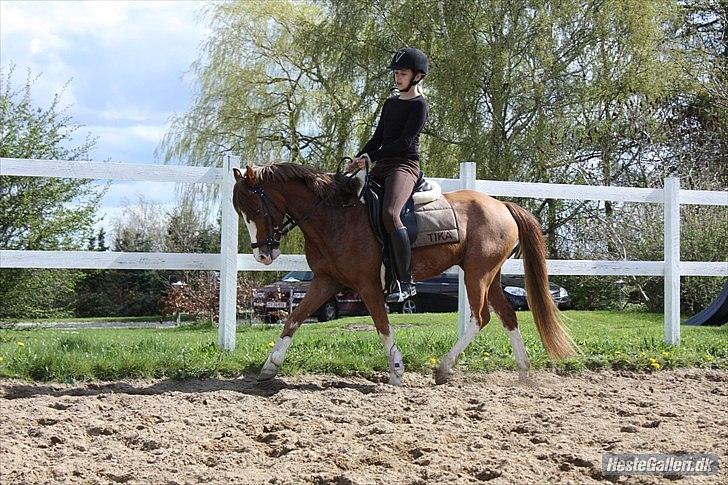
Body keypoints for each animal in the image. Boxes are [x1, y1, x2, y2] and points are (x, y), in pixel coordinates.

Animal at [232, 162, 576, 385]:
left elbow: (382, 325)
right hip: (489, 275)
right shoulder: (326, 281)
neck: (336, 216)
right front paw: (270, 367)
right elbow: (294, 318)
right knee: (508, 316)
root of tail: (501, 204)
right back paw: (523, 372)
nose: (263, 255)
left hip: (477, 274)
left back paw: (444, 368)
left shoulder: (368, 285)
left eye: (257, 209)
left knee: (481, 317)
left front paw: (396, 370)